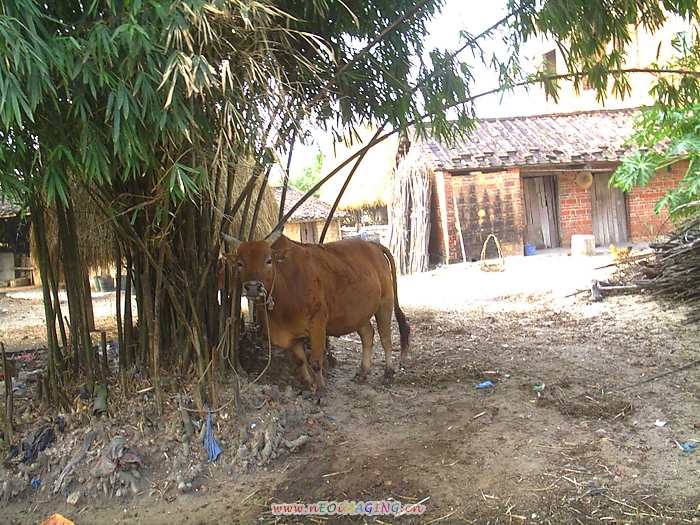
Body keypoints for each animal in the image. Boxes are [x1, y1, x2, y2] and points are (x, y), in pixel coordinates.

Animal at [221, 229, 410, 398]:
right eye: (240, 263)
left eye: (268, 261)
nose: (253, 287)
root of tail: (373, 245)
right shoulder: (291, 334)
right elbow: (300, 360)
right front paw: (305, 387)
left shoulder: (317, 327)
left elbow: (316, 362)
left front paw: (320, 391)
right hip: (358, 312)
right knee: (367, 335)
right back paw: (362, 372)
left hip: (385, 302)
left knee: (385, 338)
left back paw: (388, 373)